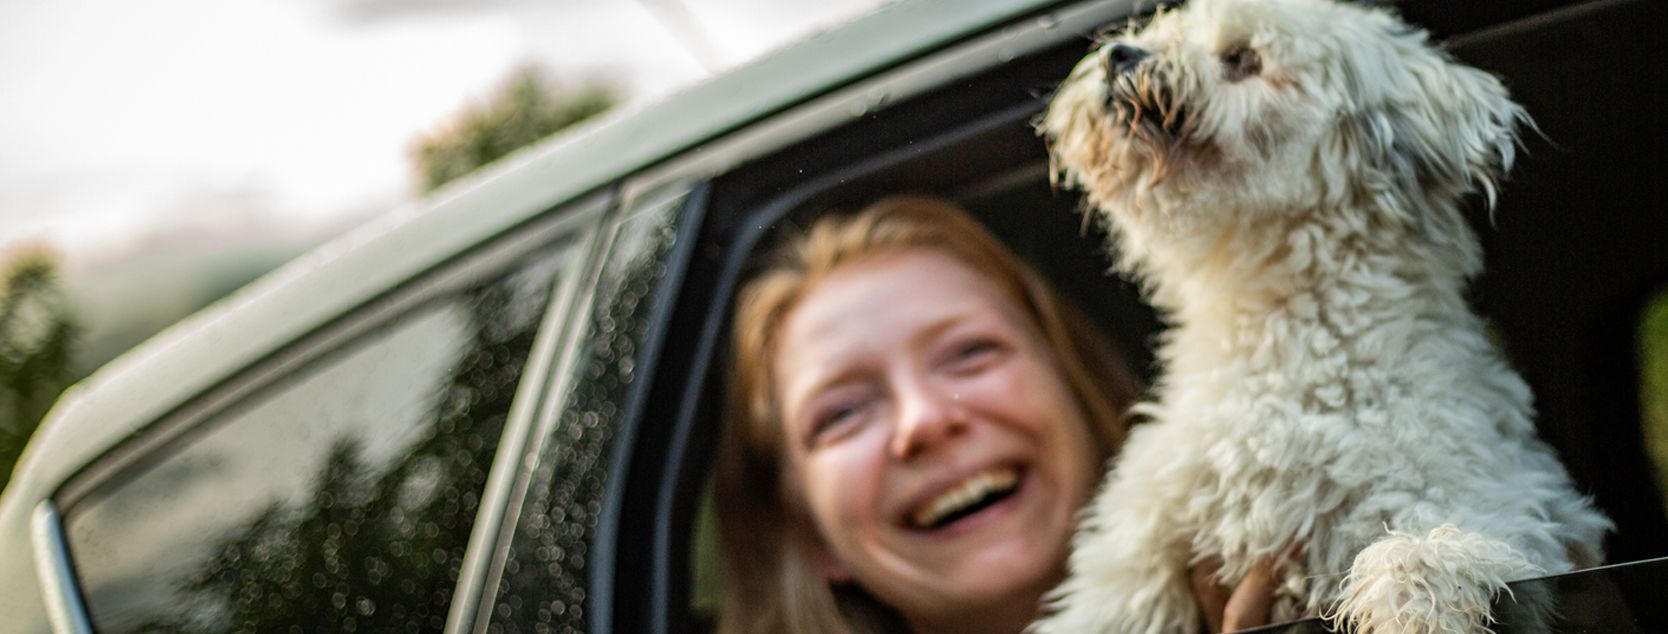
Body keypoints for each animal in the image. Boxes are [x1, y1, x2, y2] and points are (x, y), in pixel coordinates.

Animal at [1034, 0, 1607, 630]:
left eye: (1243, 58)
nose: (1120, 55)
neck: (1287, 336)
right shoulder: (1139, 545)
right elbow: (1111, 601)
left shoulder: (1501, 500)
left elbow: (1433, 546)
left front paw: (1416, 596)